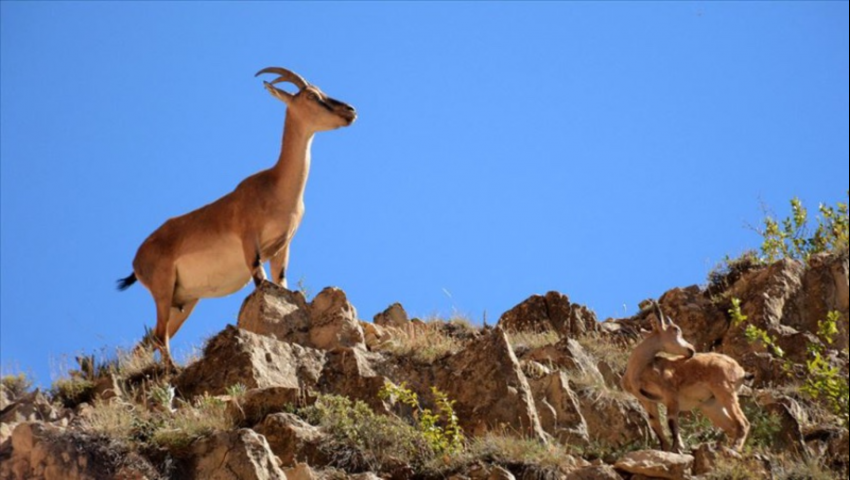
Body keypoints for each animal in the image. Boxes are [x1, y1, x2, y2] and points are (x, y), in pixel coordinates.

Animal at [117, 65, 354, 368]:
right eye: (312, 95)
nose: (350, 110)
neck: (276, 188)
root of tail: (137, 260)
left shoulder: (283, 247)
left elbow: (280, 283)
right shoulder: (249, 240)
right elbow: (260, 281)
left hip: (183, 301)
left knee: (149, 341)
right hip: (163, 288)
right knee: (159, 337)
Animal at [616, 304, 748, 454]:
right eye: (675, 330)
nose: (691, 349)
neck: (639, 370)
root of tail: (740, 370)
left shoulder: (670, 393)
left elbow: (671, 420)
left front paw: (678, 447)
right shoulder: (646, 400)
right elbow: (655, 424)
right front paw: (666, 449)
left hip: (725, 391)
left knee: (743, 422)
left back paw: (734, 448)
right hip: (711, 404)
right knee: (731, 426)